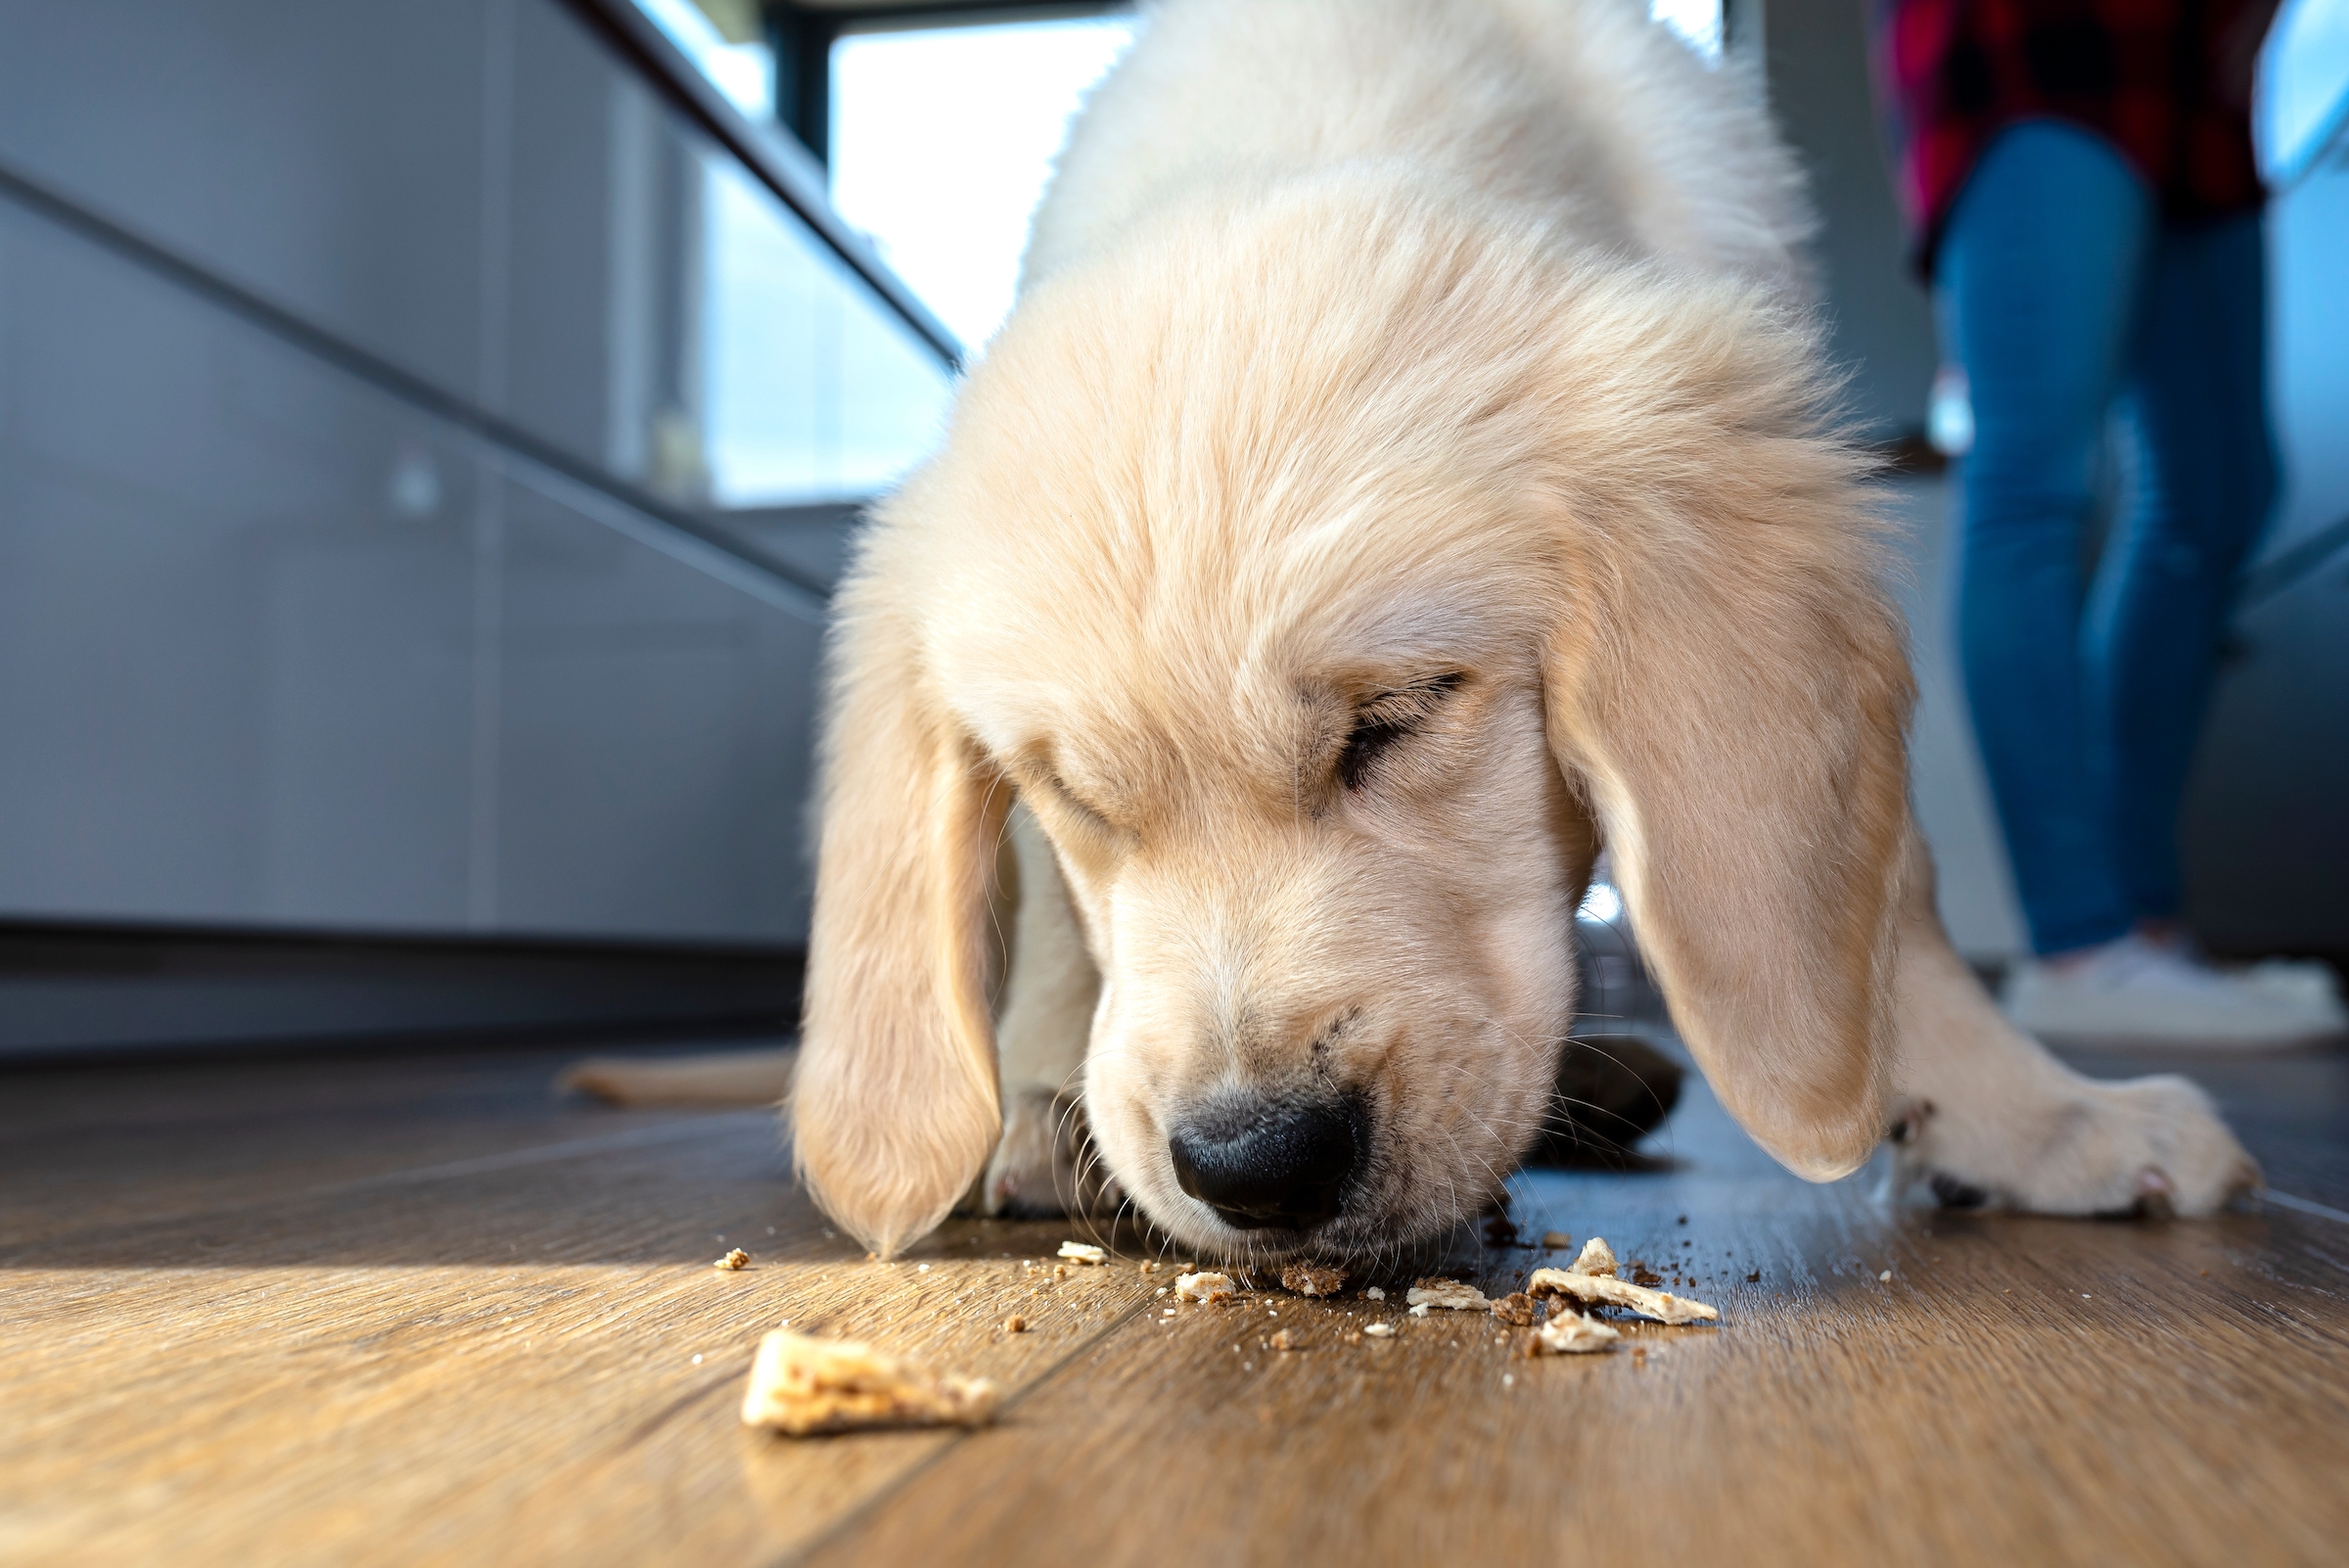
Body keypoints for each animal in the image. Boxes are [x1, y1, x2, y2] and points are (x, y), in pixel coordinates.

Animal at [784, 0, 2255, 1258]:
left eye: (1400, 716)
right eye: (1072, 795)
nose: (1254, 1161)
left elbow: (1895, 893)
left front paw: (2035, 1113)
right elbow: (1048, 926)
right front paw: (1040, 1095)